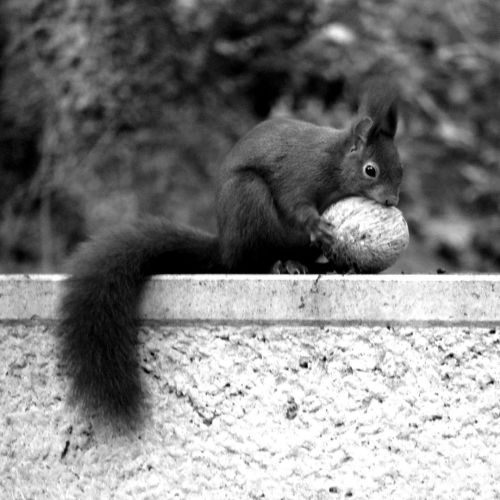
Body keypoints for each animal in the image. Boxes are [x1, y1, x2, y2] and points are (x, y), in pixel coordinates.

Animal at [57, 79, 402, 430]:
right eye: (371, 170)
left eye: (400, 168)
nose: (392, 201)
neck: (335, 164)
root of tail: (225, 246)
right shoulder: (303, 173)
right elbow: (296, 204)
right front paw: (317, 225)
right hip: (247, 198)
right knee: (251, 261)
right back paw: (280, 265)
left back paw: (319, 264)